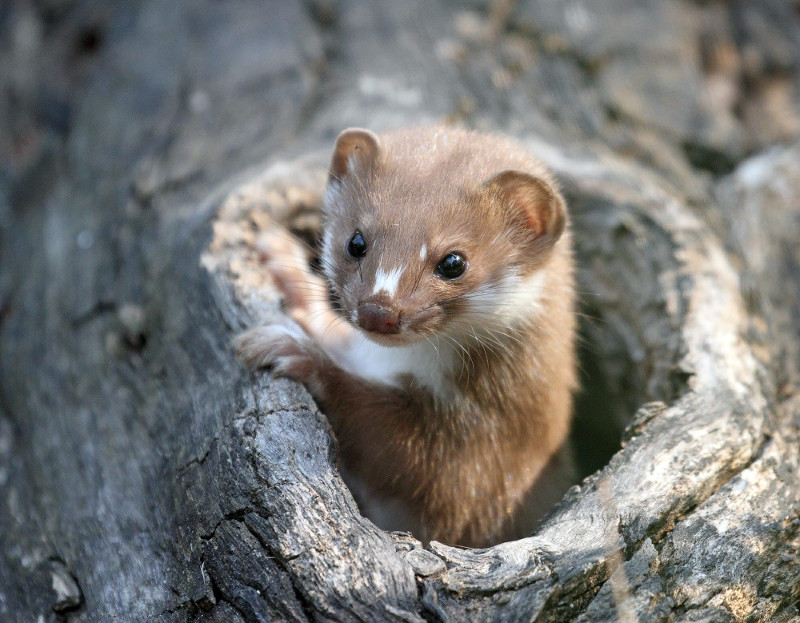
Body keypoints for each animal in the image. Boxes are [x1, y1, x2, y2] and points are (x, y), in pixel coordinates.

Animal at [234, 125, 580, 544]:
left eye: (453, 262)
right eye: (356, 241)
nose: (378, 311)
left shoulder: (487, 452)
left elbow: (394, 445)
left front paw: (292, 350)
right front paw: (282, 263)